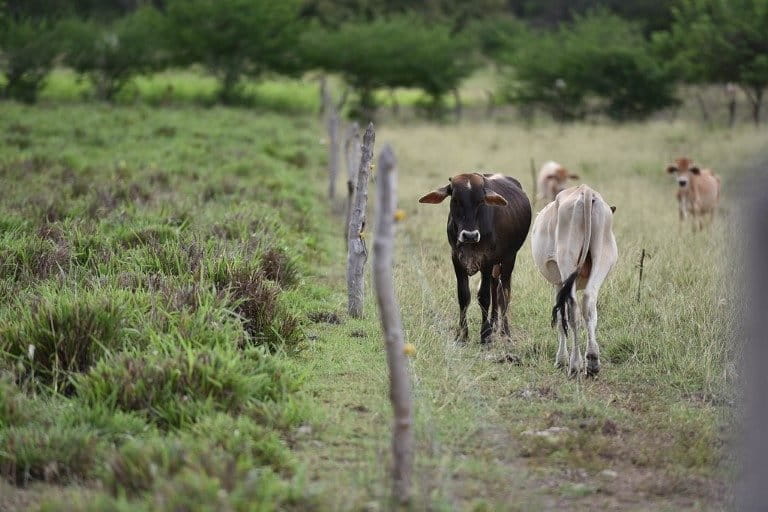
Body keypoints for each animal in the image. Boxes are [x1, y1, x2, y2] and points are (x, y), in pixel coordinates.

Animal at [416, 172, 532, 344]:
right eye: (455, 199)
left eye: (481, 201)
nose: (470, 235)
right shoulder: (456, 259)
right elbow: (464, 296)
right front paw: (462, 335)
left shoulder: (487, 260)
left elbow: (483, 297)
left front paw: (485, 335)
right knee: (495, 289)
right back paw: (494, 325)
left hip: (509, 258)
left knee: (504, 292)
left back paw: (504, 332)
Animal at [528, 184, 616, 376]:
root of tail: (586, 191)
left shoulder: (558, 284)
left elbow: (562, 319)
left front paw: (561, 360)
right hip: (603, 258)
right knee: (589, 302)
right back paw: (592, 360)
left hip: (567, 261)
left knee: (573, 309)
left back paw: (575, 364)